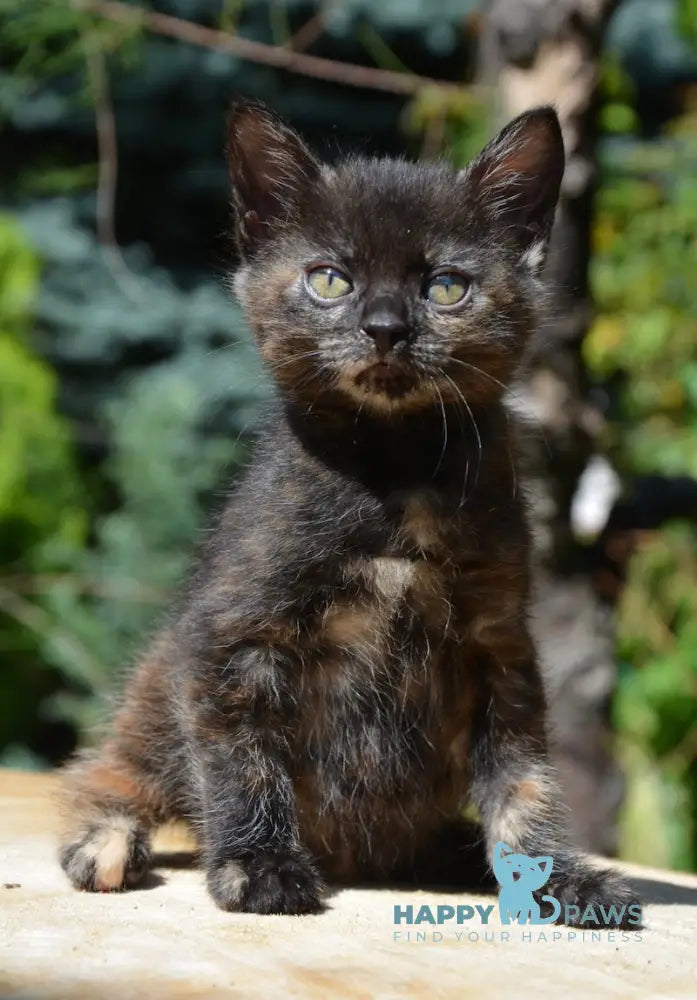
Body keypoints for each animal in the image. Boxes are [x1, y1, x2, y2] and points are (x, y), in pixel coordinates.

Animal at [57, 101, 640, 920]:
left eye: (447, 286)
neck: (395, 474)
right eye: (330, 279)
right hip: (153, 686)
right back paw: (106, 840)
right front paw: (258, 865)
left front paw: (553, 876)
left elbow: (524, 775)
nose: (386, 327)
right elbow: (241, 759)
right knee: (112, 770)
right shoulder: (228, 632)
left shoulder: (500, 645)